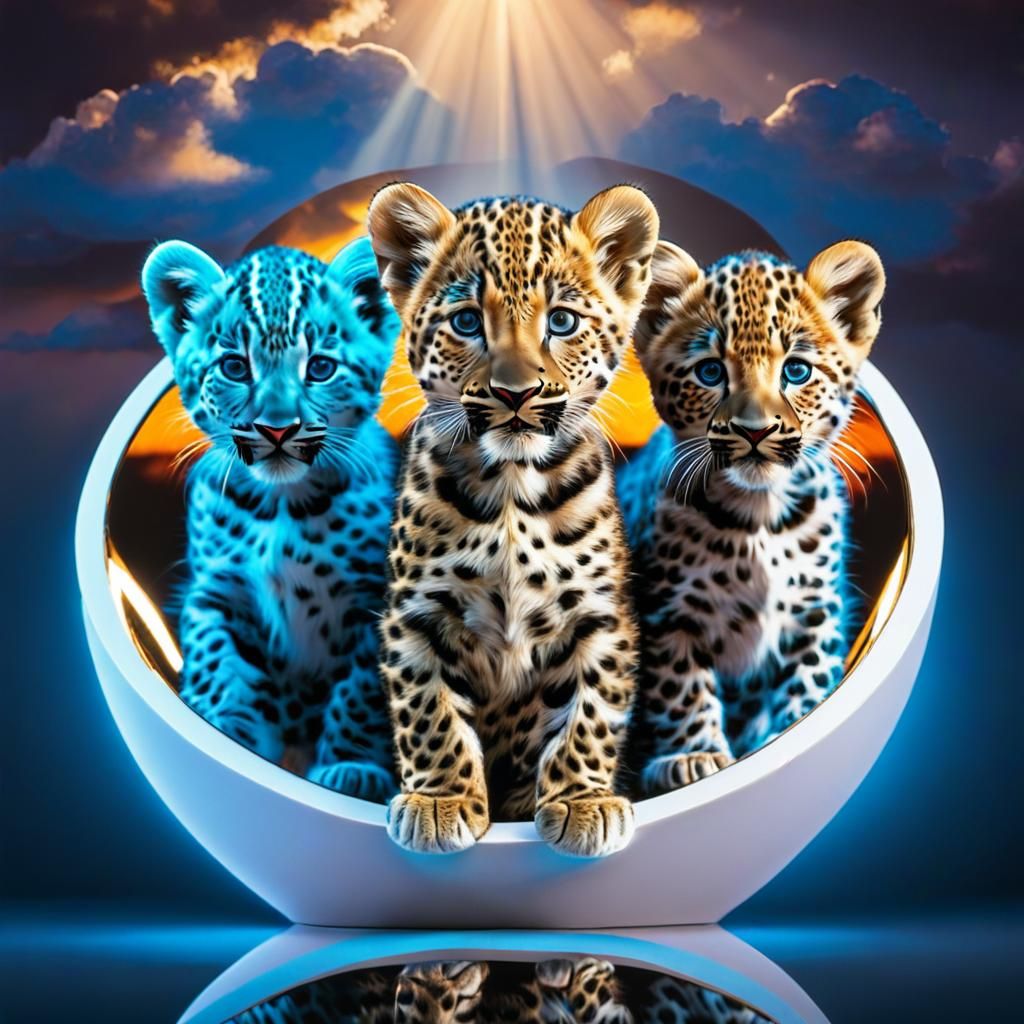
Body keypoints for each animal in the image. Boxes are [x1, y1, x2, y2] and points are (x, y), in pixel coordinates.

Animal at [141, 236, 401, 801]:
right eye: (235, 367)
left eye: (320, 367)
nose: (278, 429)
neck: (282, 505)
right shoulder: (218, 590)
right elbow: (214, 656)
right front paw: (221, 729)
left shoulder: (377, 599)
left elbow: (361, 691)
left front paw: (350, 766)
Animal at [365, 182, 659, 856]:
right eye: (467, 322)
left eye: (562, 322)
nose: (516, 394)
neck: (510, 490)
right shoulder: (416, 614)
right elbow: (429, 711)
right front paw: (440, 803)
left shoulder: (599, 617)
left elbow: (590, 712)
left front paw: (582, 803)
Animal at [618, 239, 885, 795]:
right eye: (710, 372)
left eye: (796, 371)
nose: (755, 430)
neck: (759, 518)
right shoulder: (668, 614)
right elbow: (682, 686)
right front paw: (694, 756)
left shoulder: (814, 608)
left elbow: (809, 677)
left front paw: (791, 734)